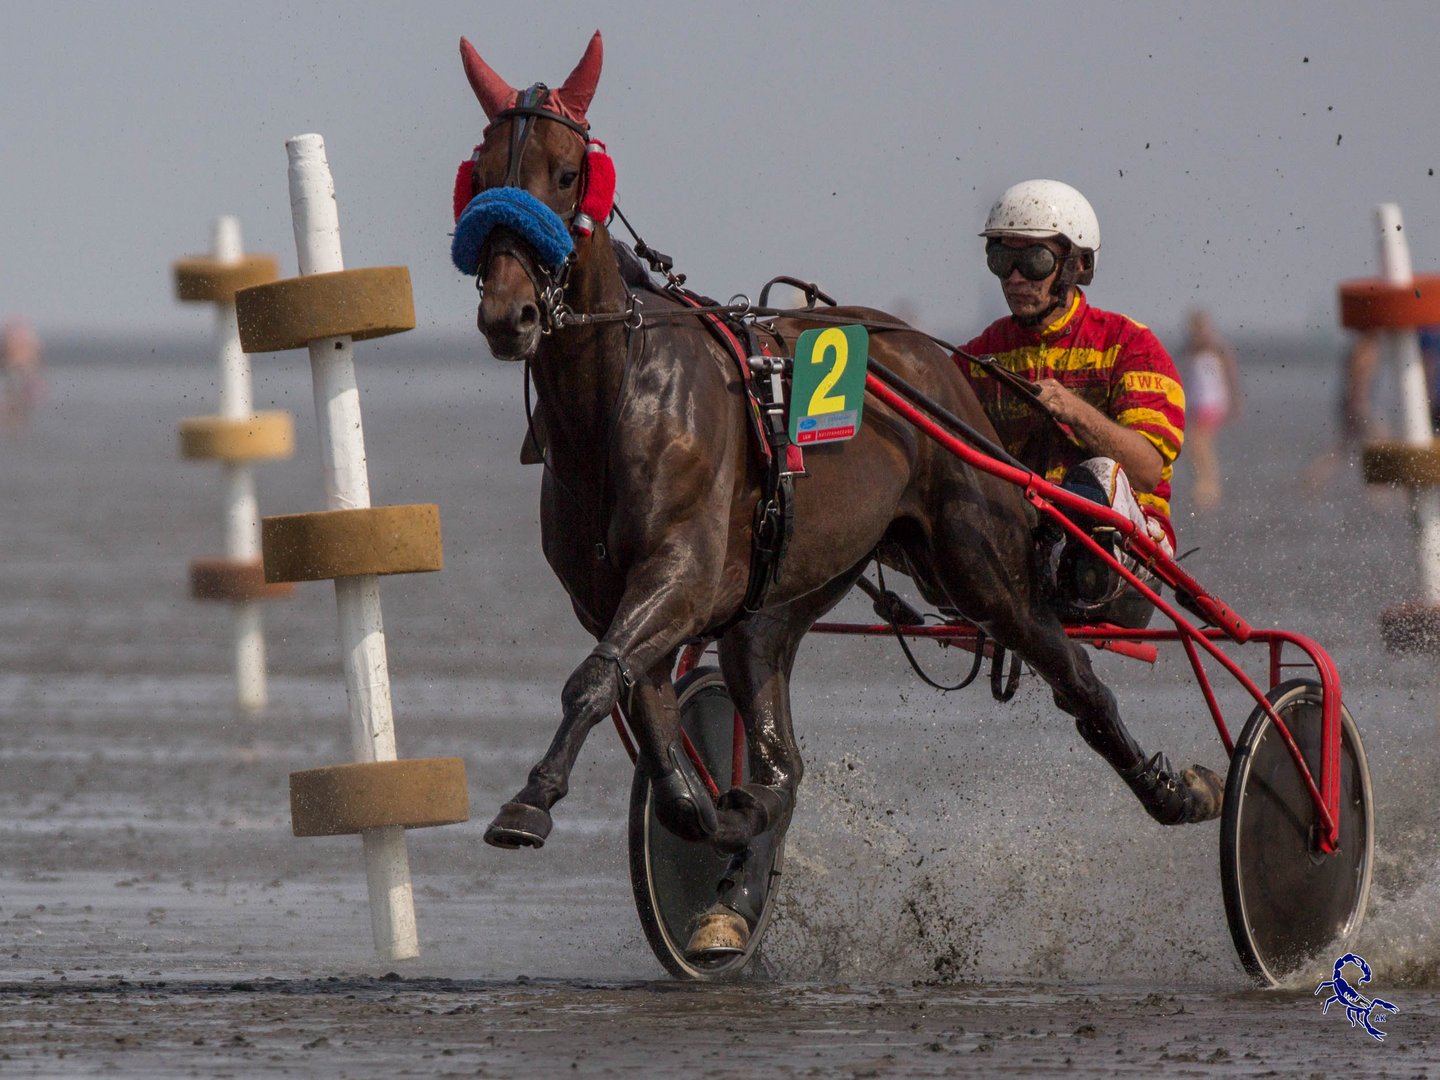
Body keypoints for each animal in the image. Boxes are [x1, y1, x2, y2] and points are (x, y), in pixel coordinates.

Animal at [455, 29, 1221, 961]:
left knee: (1078, 676)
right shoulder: (614, 597)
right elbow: (660, 735)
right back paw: (744, 849)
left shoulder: (677, 575)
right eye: (480, 169)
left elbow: (595, 681)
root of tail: (931, 360)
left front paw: (529, 802)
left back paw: (1176, 789)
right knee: (781, 745)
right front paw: (720, 816)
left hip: (982, 565)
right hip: (790, 590)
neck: (615, 401)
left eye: (568, 173)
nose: (511, 315)